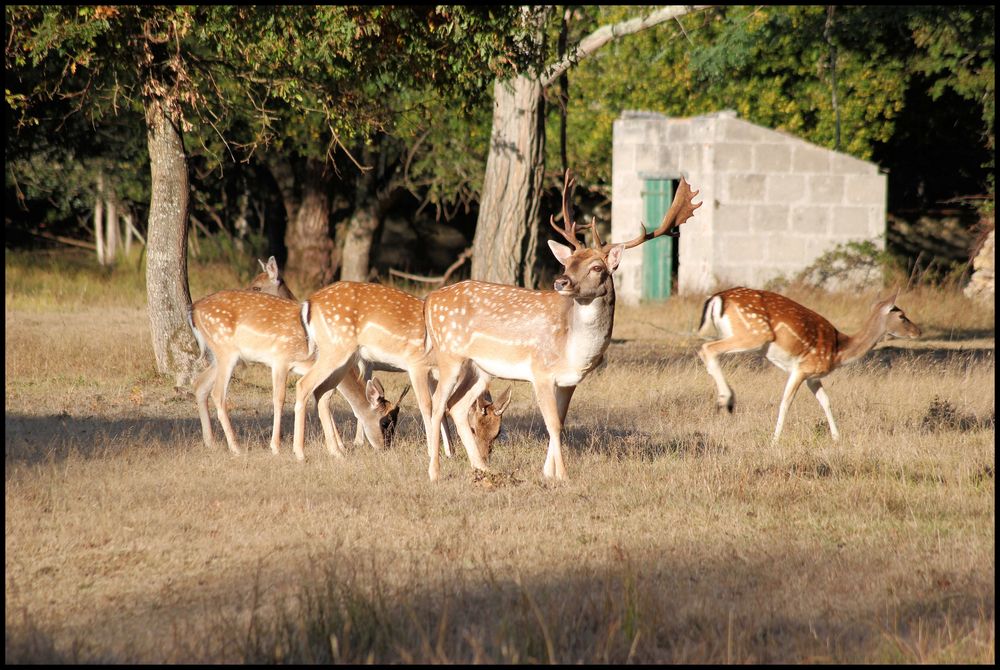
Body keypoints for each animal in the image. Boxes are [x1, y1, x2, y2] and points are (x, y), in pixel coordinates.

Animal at [189, 258, 404, 456]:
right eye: (385, 422)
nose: (386, 447)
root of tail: (193, 309)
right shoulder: (280, 359)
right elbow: (281, 398)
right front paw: (276, 447)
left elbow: (323, 400)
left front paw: (339, 446)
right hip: (226, 351)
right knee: (217, 393)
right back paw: (236, 447)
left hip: (222, 355)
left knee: (200, 384)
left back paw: (211, 442)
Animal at [422, 171, 704, 480]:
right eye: (567, 263)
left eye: (596, 267)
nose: (561, 281)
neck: (573, 349)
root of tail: (430, 300)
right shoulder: (540, 371)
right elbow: (552, 424)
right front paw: (564, 476)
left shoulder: (570, 381)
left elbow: (560, 422)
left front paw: (549, 473)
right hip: (450, 354)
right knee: (438, 404)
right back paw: (434, 472)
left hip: (481, 368)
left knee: (457, 406)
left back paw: (484, 469)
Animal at [696, 286, 920, 444]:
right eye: (902, 316)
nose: (918, 331)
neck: (838, 352)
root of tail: (717, 297)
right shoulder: (802, 368)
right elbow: (786, 402)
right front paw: (774, 440)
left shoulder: (813, 376)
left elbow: (826, 401)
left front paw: (837, 437)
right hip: (753, 335)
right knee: (707, 348)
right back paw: (726, 399)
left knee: (706, 350)